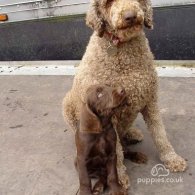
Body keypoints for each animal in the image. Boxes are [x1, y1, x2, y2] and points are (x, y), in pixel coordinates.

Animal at [63, 0, 187, 190]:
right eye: (108, 3)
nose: (130, 16)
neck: (121, 47)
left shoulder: (151, 99)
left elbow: (160, 133)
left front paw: (171, 158)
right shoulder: (110, 114)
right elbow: (117, 151)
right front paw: (119, 177)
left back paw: (132, 133)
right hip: (67, 104)